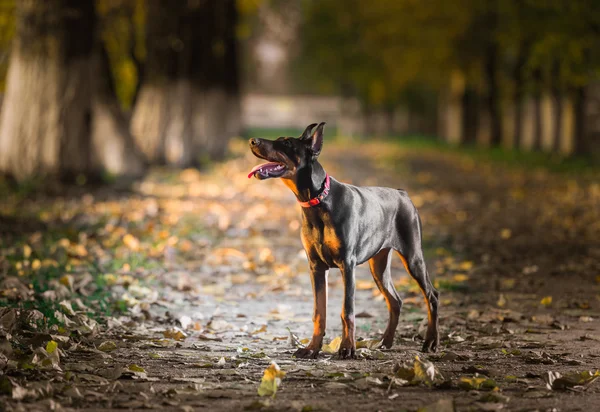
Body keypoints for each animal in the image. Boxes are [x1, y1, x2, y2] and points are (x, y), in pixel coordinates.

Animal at [246, 122, 438, 358]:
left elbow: (347, 311)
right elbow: (319, 312)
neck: (318, 201)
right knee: (395, 301)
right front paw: (312, 348)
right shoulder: (316, 266)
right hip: (379, 266)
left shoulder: (348, 264)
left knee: (432, 295)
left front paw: (347, 347)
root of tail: (403, 194)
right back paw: (385, 342)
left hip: (413, 256)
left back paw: (431, 342)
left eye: (287, 143)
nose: (252, 141)